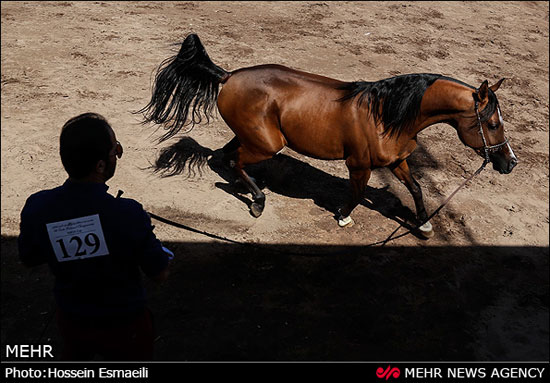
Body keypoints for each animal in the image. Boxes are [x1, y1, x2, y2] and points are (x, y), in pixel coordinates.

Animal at [140, 34, 520, 238]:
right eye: (492, 123)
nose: (510, 163)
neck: (388, 115)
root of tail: (227, 75)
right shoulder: (359, 165)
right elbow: (358, 193)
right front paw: (342, 215)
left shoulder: (397, 160)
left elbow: (415, 189)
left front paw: (424, 225)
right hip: (268, 144)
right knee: (233, 160)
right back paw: (257, 200)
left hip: (253, 137)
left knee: (227, 155)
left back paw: (245, 188)